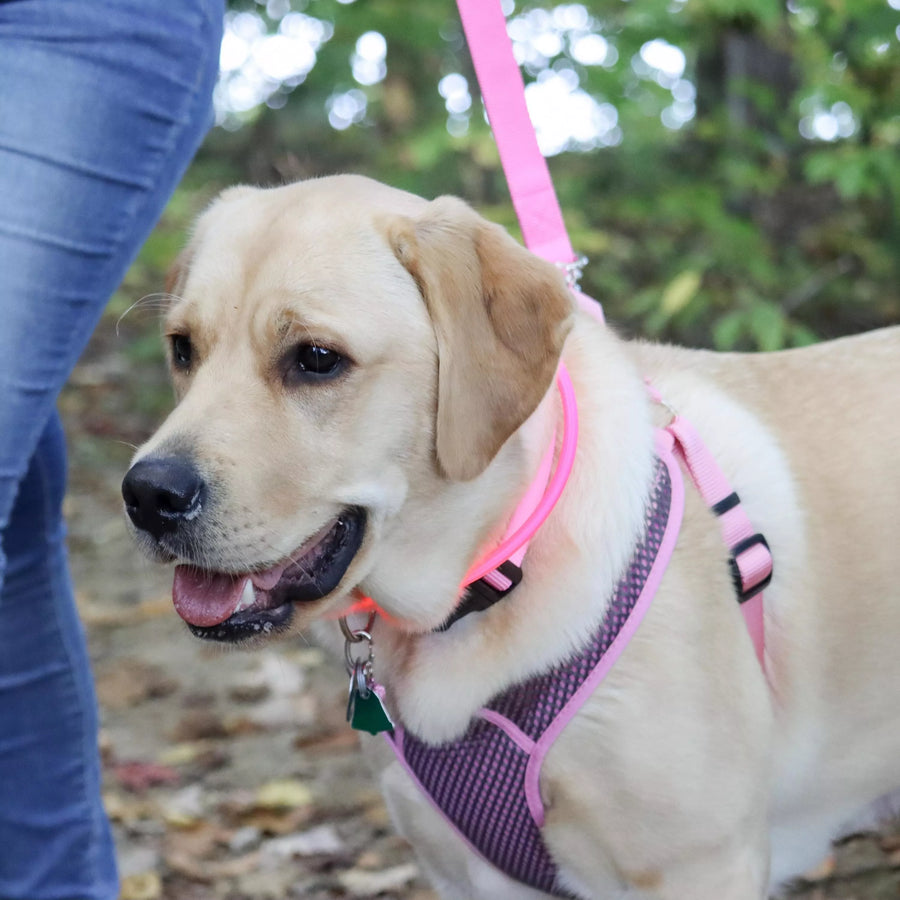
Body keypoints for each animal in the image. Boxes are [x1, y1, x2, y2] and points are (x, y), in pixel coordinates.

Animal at [123, 176, 900, 900]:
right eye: (183, 350)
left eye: (316, 358)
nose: (147, 496)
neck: (487, 583)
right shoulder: (465, 873)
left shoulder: (701, 866)